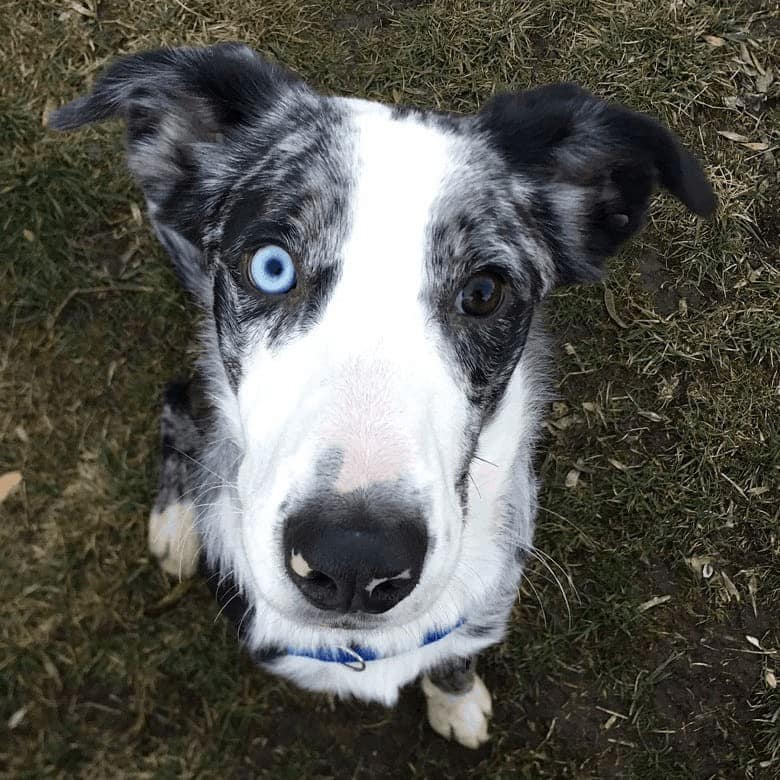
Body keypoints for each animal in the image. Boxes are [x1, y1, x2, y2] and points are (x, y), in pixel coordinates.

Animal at [51, 42, 716, 748]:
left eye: (484, 291)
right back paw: (178, 523)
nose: (354, 558)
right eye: (271, 266)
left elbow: (454, 653)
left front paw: (455, 699)